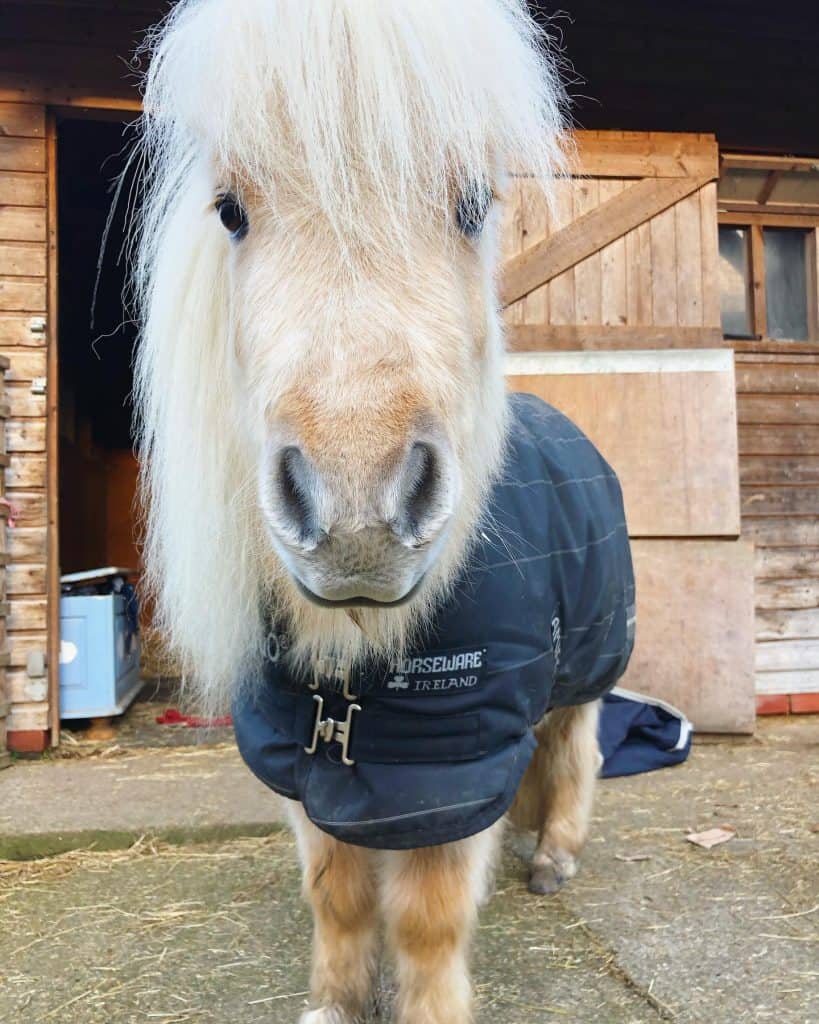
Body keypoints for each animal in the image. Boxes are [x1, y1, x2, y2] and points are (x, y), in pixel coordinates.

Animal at [133, 2, 593, 1024]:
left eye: (472, 205)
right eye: (232, 210)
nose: (355, 517)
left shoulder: (452, 770)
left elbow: (425, 920)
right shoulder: (311, 765)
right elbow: (337, 895)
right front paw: (336, 1003)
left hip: (586, 672)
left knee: (574, 753)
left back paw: (553, 856)